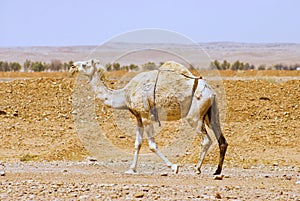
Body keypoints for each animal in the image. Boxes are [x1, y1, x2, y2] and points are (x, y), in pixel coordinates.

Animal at [70, 59, 229, 174]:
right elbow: (137, 143)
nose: (72, 67)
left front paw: (174, 167)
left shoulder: (146, 115)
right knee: (222, 140)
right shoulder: (138, 117)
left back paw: (197, 168)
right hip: (211, 113)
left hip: (194, 116)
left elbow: (152, 145)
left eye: (84, 64)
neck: (125, 94)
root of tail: (211, 92)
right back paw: (217, 171)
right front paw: (131, 169)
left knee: (207, 140)